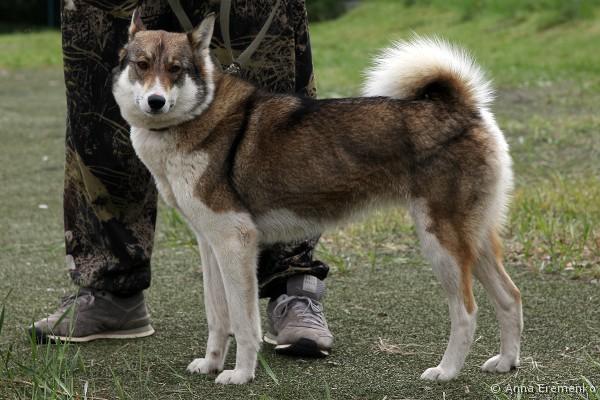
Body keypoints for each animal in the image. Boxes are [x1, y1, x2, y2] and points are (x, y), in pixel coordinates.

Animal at [112, 11, 523, 384]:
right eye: (142, 65)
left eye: (176, 69)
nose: (155, 101)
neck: (197, 115)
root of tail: (463, 109)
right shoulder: (211, 244)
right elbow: (218, 316)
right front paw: (211, 364)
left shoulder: (236, 242)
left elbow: (244, 323)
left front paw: (240, 374)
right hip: (472, 242)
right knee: (510, 298)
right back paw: (506, 362)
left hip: (442, 245)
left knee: (467, 312)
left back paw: (446, 371)